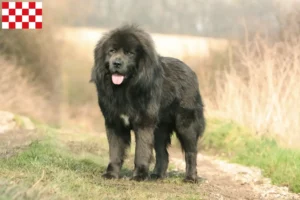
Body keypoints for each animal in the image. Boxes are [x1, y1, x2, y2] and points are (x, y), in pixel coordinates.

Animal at [90, 24, 205, 181]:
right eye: (111, 51)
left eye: (129, 53)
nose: (116, 63)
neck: (126, 89)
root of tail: (191, 72)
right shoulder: (114, 123)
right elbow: (115, 151)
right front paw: (111, 174)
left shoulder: (144, 123)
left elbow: (142, 151)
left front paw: (139, 175)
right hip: (160, 129)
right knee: (163, 154)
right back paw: (157, 175)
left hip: (186, 125)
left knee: (191, 152)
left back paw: (190, 178)